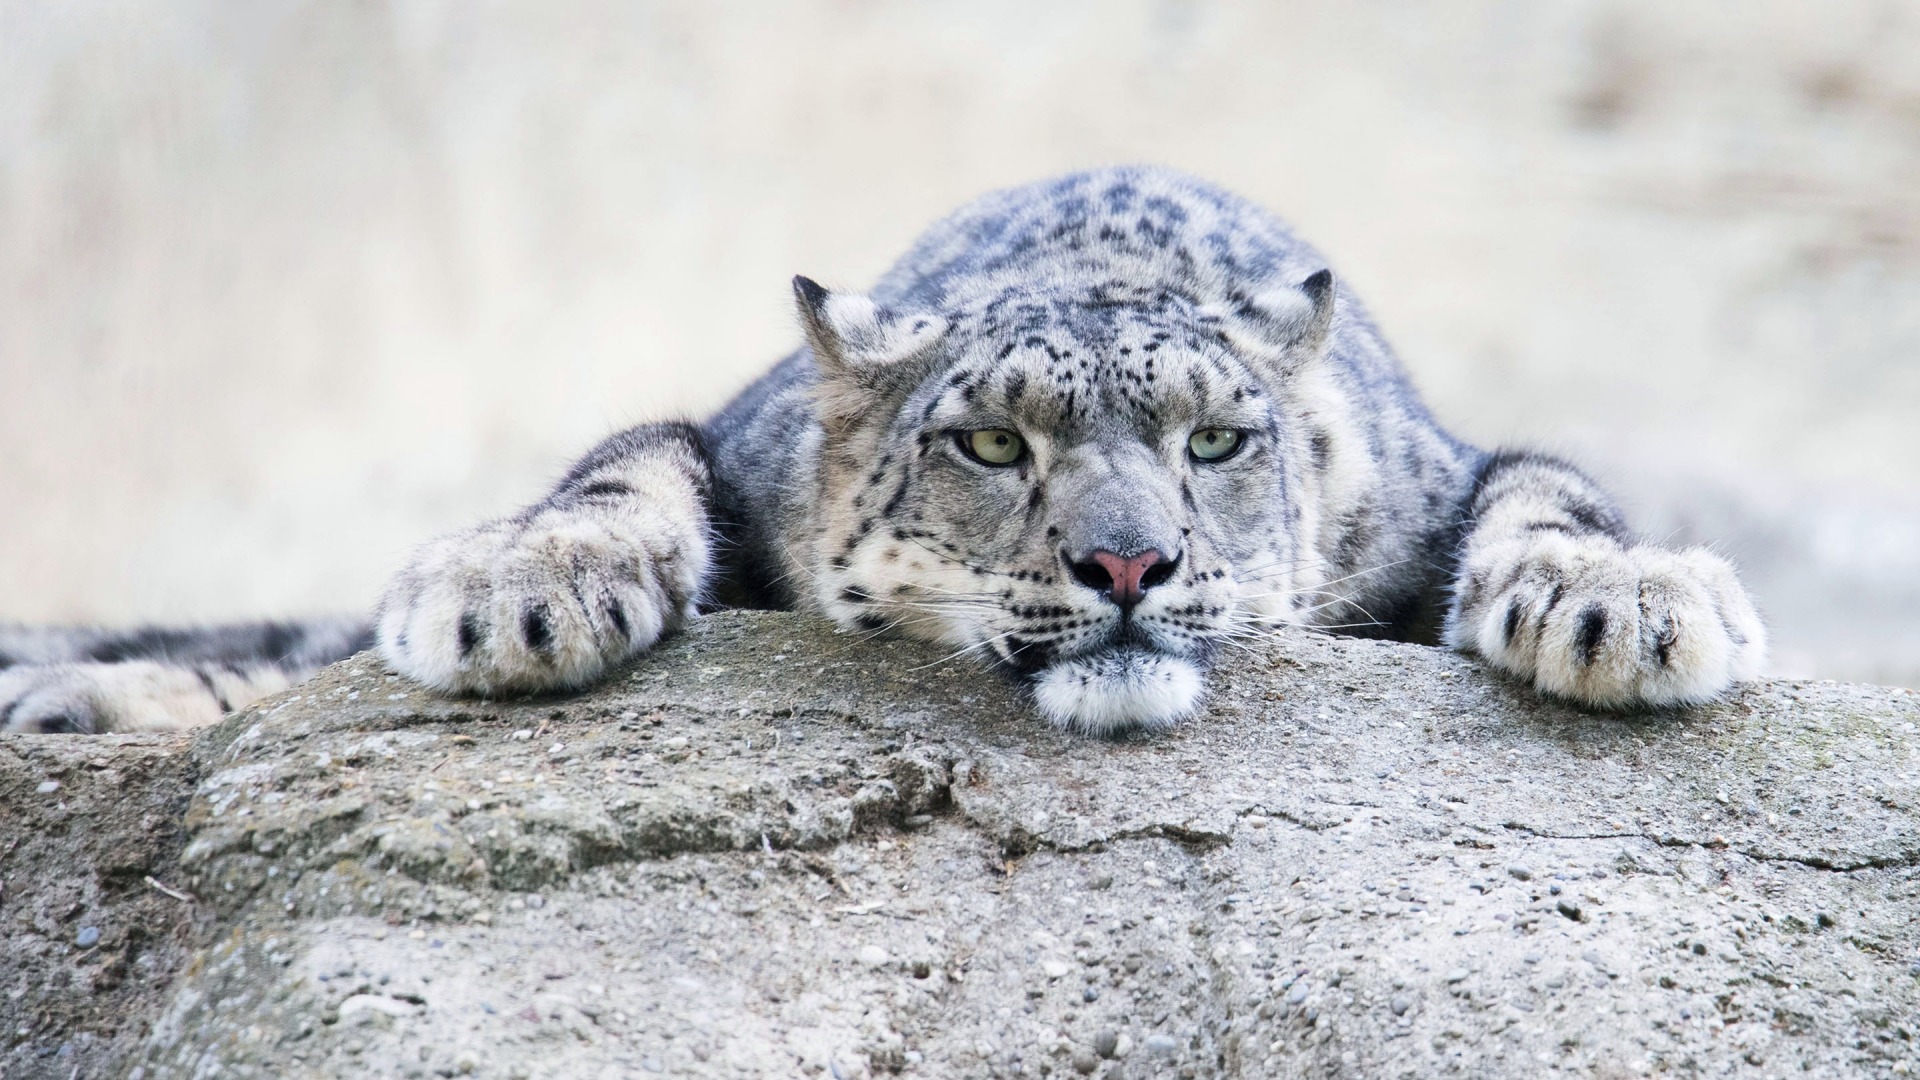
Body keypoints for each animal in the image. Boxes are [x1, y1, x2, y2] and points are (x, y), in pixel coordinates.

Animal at [0, 166, 1766, 737]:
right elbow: (629, 471)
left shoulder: (1434, 484)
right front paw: (524, 592)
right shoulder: (729, 446)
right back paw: (75, 696)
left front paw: (1630, 613)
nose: (1130, 562)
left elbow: (1553, 498)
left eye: (1217, 438)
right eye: (988, 440)